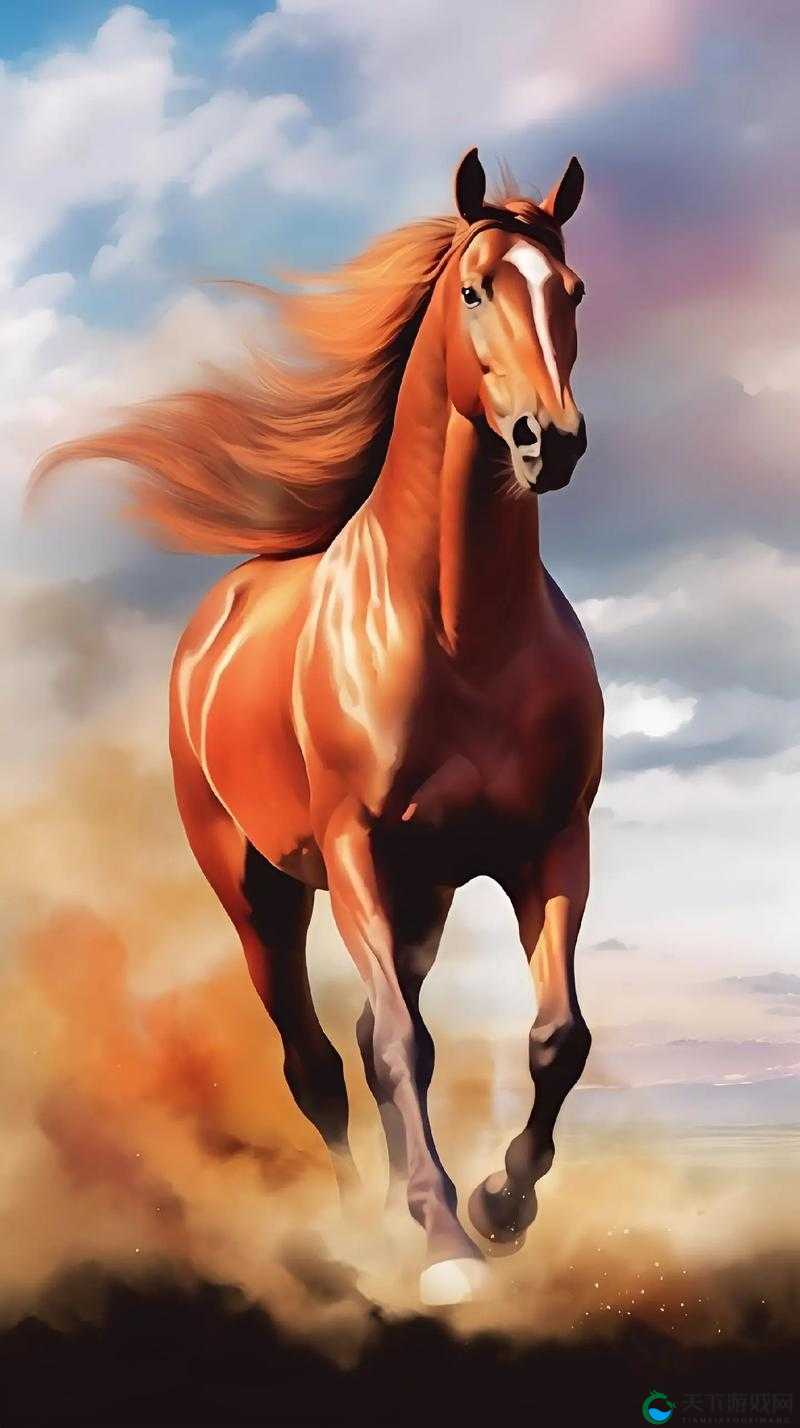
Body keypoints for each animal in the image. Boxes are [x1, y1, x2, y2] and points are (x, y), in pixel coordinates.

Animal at [31, 147, 603, 1306]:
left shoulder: (549, 845)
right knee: (317, 1060)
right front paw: (445, 1243)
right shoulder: (355, 849)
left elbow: (555, 1038)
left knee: (372, 1032)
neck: (463, 632)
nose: (549, 442)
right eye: (475, 290)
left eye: (571, 292)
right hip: (260, 892)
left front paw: (497, 1205)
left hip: (422, 893)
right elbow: (396, 1050)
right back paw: (355, 1227)